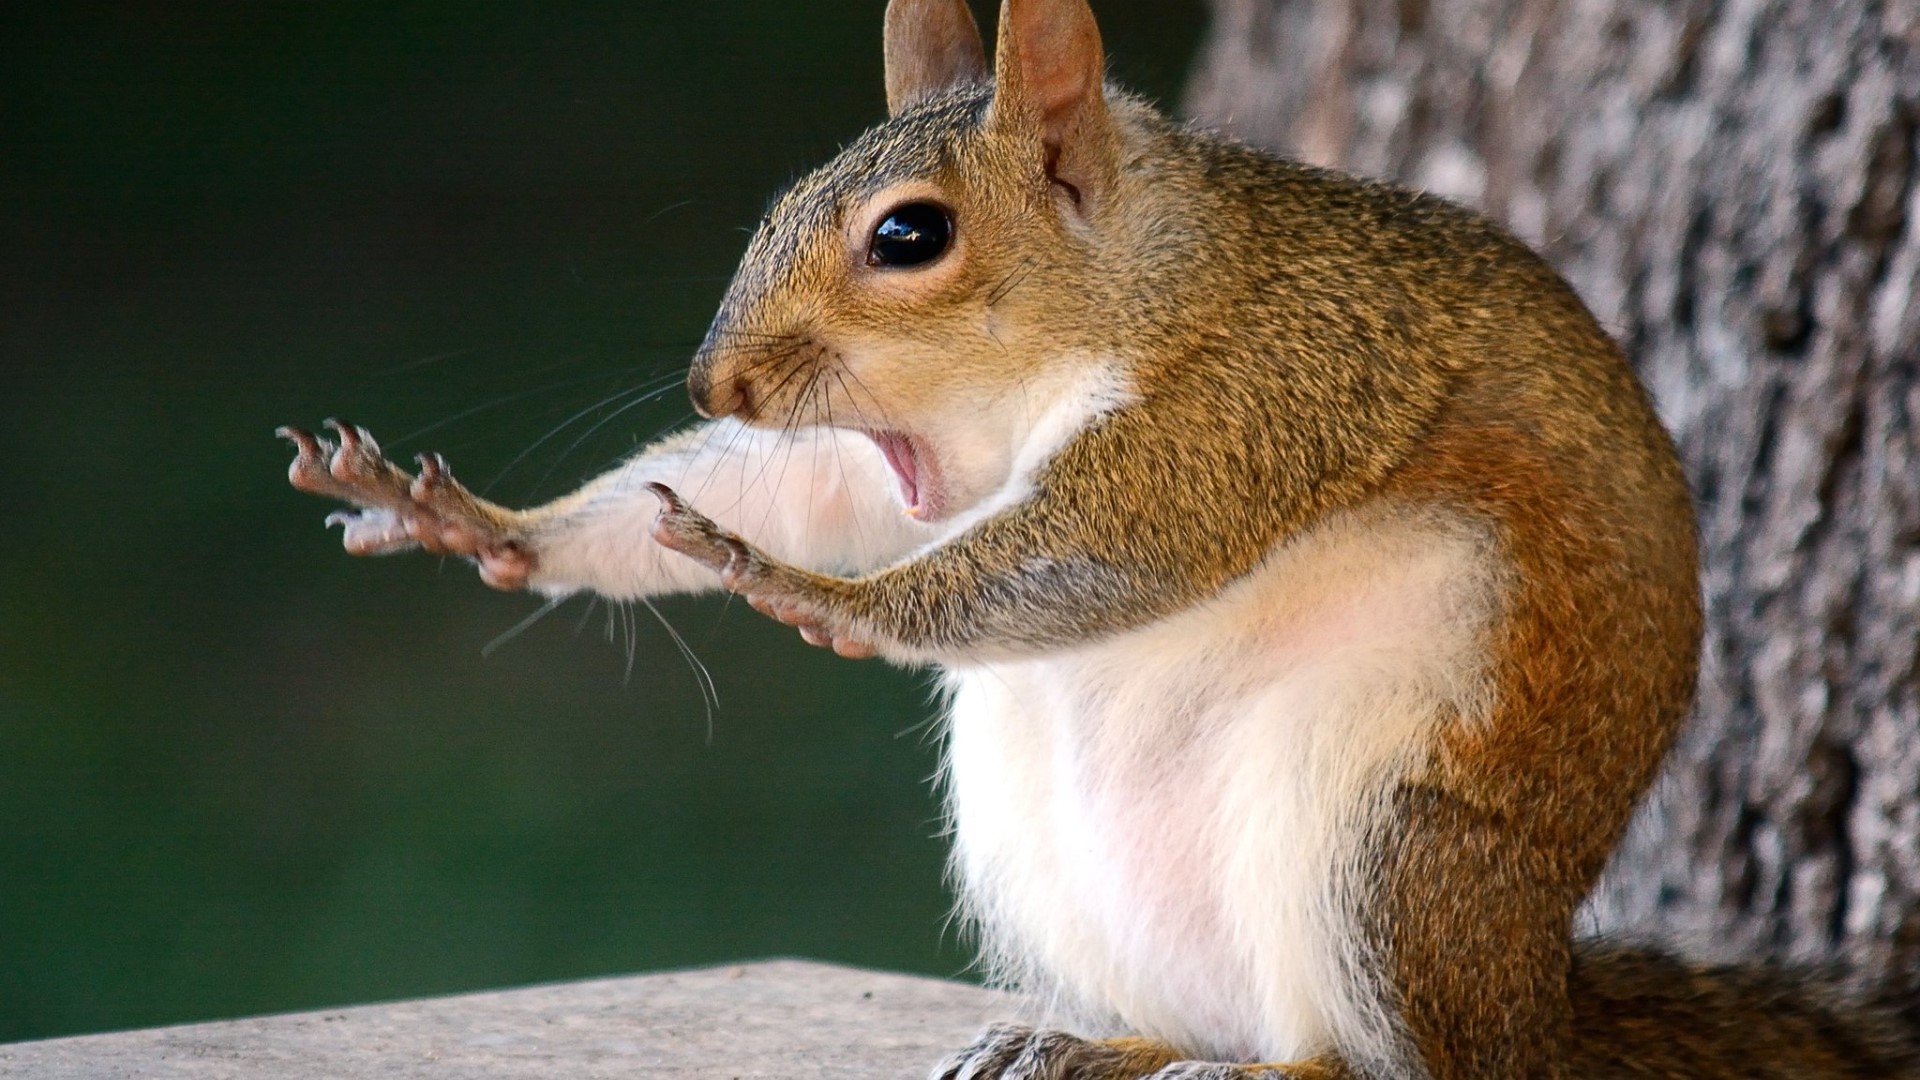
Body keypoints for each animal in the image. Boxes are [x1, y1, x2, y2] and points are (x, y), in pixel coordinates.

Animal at [277, 0, 1920, 1076]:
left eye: (910, 236)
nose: (715, 386)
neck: (1132, 289)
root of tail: (1532, 1012)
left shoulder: (1271, 387)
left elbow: (1108, 547)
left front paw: (808, 593)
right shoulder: (893, 461)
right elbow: (794, 491)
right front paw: (482, 524)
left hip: (1384, 850)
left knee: (1372, 1062)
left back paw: (1257, 1067)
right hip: (1046, 848)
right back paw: (1092, 1047)